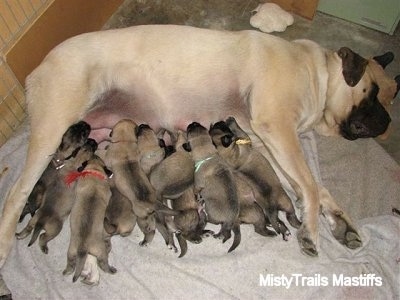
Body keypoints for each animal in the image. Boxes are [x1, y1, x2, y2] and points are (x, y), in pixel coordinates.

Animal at [15, 122, 91, 253]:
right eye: (84, 133)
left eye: (75, 126)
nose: (86, 123)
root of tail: (41, 220)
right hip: (52, 223)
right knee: (42, 236)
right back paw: (43, 246)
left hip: (34, 216)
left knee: (28, 221)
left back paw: (20, 233)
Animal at [185, 122, 241, 253]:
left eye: (189, 130)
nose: (193, 123)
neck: (208, 155)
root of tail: (231, 217)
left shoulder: (198, 184)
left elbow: (196, 190)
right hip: (226, 224)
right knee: (226, 231)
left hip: (210, 209)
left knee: (212, 221)